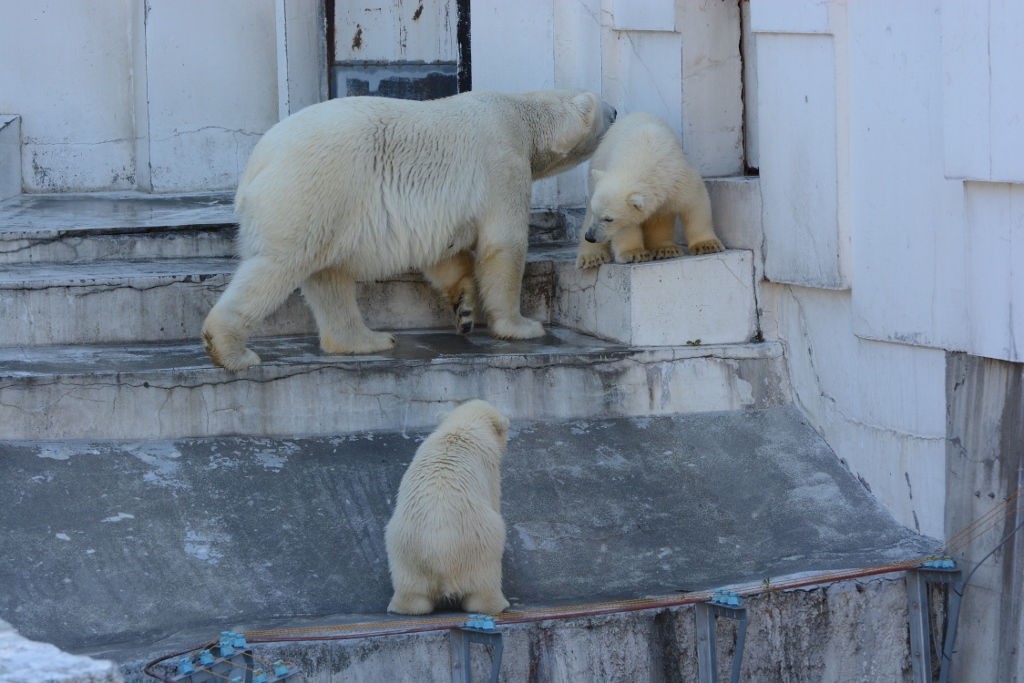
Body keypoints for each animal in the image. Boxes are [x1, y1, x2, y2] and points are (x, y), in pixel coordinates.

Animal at [202, 89, 610, 374]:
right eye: (606, 110)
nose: (619, 110)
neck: (521, 113)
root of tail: (256, 165)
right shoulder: (502, 160)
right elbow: (503, 244)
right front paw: (522, 326)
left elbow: (444, 253)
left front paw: (464, 309)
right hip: (314, 189)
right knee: (279, 266)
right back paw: (230, 349)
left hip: (329, 208)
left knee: (328, 276)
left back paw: (367, 340)